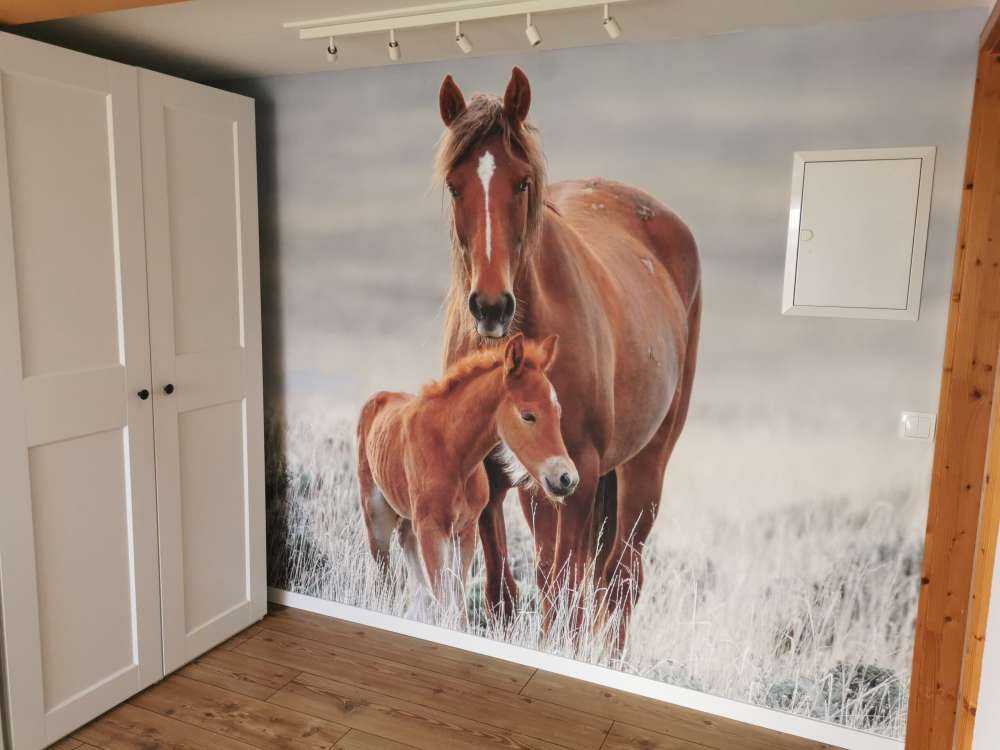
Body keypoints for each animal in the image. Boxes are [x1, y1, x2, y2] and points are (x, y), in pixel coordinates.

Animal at [356, 333, 577, 620]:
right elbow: (445, 603)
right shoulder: (431, 530)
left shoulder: (466, 531)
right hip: (376, 515)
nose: (566, 478)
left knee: (406, 543)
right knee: (384, 573)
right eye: (528, 415)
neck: (453, 454)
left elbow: (457, 606)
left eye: (557, 412)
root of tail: (379, 397)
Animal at [436, 67, 701, 649]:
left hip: (643, 467)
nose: (491, 306)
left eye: (521, 182)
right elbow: (503, 584)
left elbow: (565, 591)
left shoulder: (577, 470)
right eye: (453, 185)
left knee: (620, 576)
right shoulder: (494, 469)